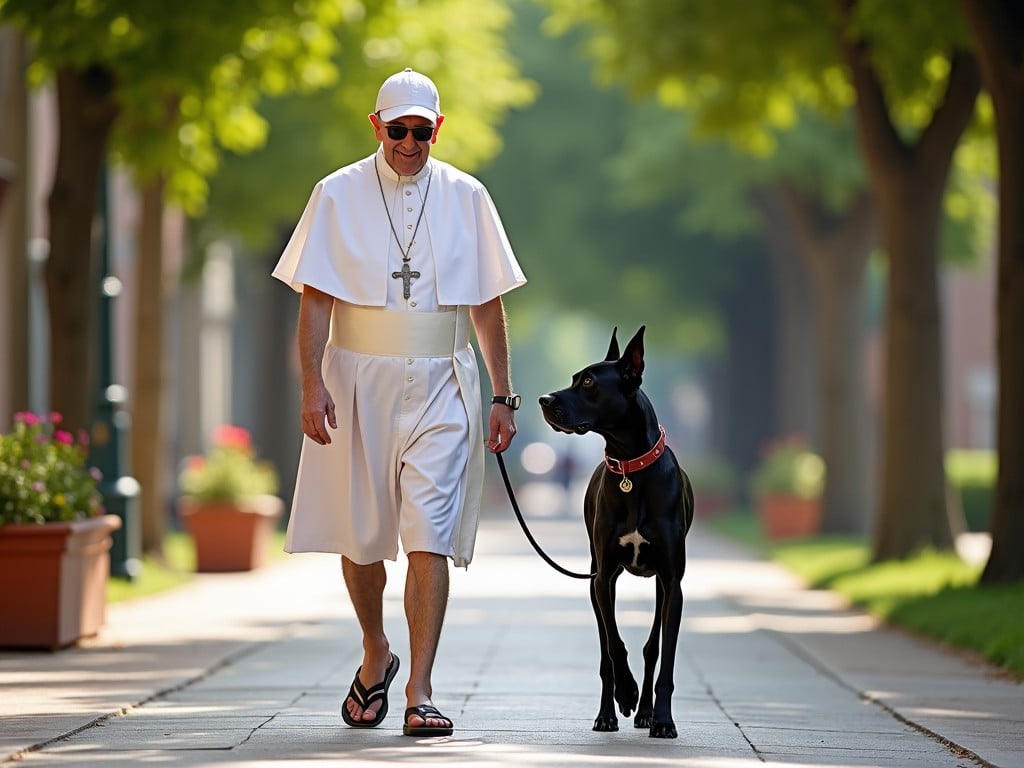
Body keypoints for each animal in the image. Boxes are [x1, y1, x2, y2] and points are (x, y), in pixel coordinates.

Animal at [540, 325, 692, 741]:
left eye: (589, 381)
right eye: (574, 377)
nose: (544, 399)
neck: (629, 465)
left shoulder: (673, 581)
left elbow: (666, 657)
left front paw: (662, 719)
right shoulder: (603, 575)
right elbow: (613, 644)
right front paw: (625, 692)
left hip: (661, 587)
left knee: (652, 648)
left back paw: (646, 713)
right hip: (595, 581)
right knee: (606, 649)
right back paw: (608, 712)